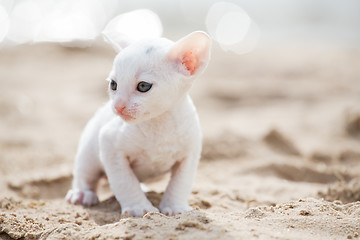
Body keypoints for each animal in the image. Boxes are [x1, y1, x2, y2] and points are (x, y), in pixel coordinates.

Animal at [65, 31, 211, 217]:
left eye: (143, 86)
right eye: (113, 84)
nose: (118, 106)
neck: (159, 123)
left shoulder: (191, 152)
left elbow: (181, 183)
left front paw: (176, 207)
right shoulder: (109, 143)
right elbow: (124, 181)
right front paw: (139, 208)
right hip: (89, 152)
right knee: (84, 174)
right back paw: (83, 194)